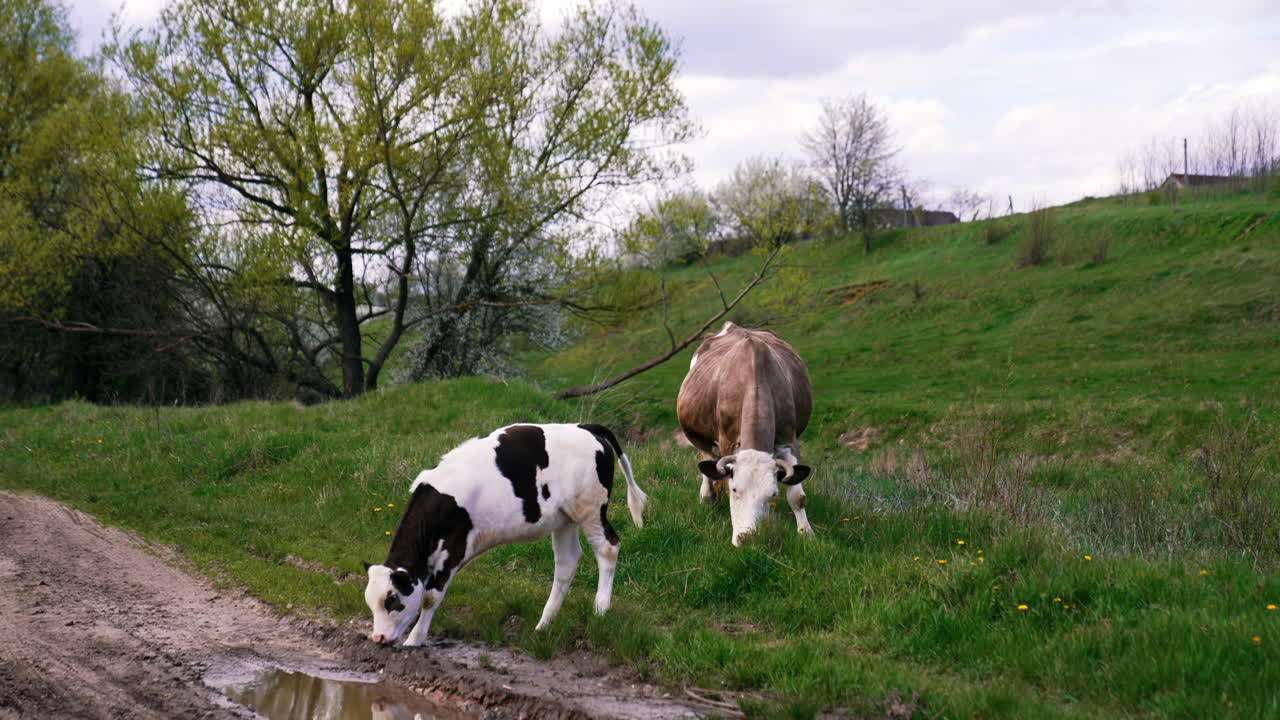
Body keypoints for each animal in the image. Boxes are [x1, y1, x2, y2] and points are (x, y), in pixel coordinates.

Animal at [363, 423, 648, 646]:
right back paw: (544, 623)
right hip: (564, 518)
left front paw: (415, 639)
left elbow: (431, 596)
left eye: (392, 599)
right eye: (370, 602)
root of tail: (584, 427)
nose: (378, 638)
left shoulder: (455, 546)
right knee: (567, 561)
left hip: (590, 508)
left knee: (607, 548)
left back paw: (600, 608)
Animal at [676, 322, 813, 546]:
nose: (747, 538)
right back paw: (707, 497)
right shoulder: (727, 442)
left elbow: (797, 497)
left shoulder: (789, 440)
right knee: (705, 459)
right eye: (734, 490)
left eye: (773, 494)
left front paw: (806, 534)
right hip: (699, 435)